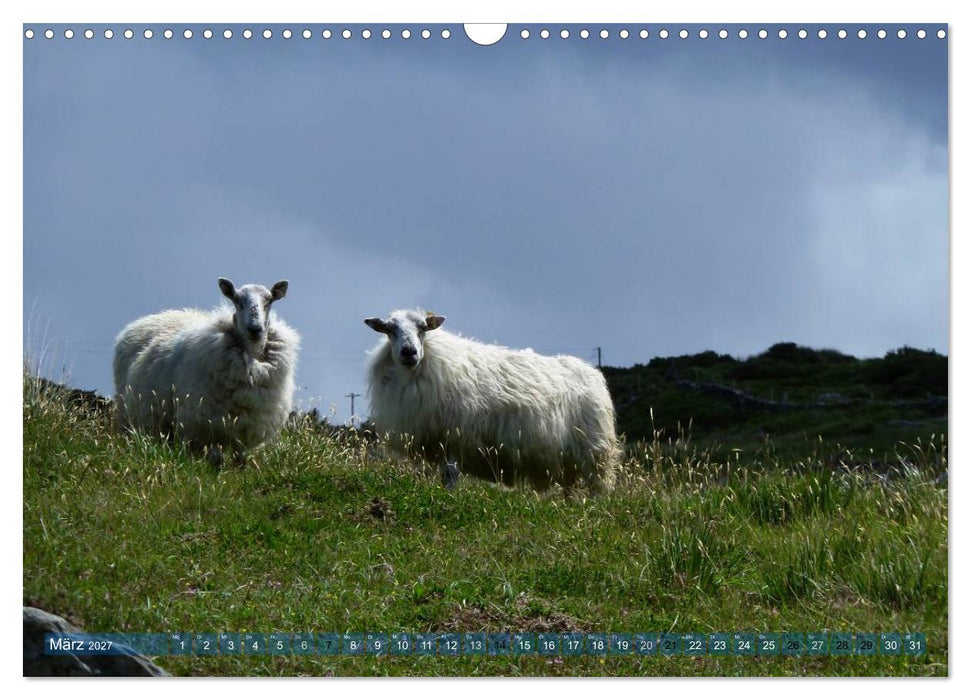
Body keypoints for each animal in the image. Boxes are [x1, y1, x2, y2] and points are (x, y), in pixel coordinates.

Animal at [113, 277, 299, 467]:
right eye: (237, 301)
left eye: (269, 301)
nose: (255, 329)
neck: (252, 360)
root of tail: (160, 315)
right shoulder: (208, 426)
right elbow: (216, 462)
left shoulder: (244, 430)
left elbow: (240, 462)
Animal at [364, 309, 619, 494]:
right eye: (389, 329)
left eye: (422, 328)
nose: (409, 352)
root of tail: (592, 373)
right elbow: (445, 475)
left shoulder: (456, 433)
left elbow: (451, 474)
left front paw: (449, 497)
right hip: (569, 462)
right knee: (571, 491)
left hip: (595, 452)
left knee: (598, 487)